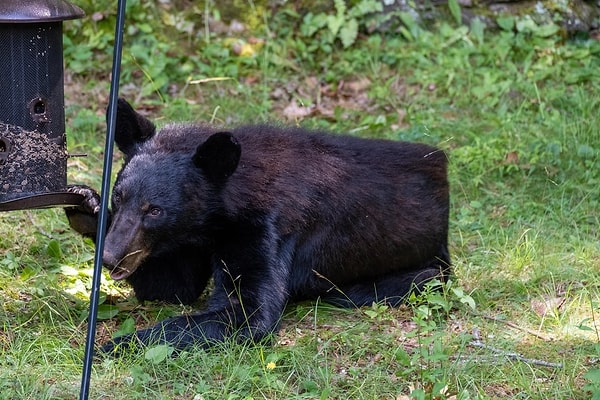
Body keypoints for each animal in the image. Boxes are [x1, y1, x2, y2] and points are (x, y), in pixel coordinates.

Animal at [65, 98, 450, 354]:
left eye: (155, 210)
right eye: (119, 196)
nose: (111, 257)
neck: (217, 216)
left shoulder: (265, 228)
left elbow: (248, 311)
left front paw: (114, 344)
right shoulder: (190, 239)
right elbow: (172, 286)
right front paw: (85, 203)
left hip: (426, 270)